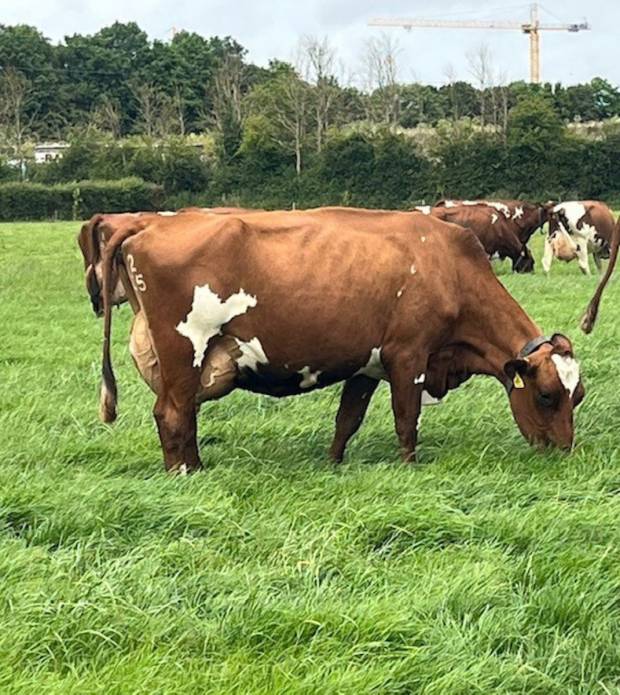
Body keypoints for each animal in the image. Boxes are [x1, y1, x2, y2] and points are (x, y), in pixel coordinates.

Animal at [83, 207, 588, 474]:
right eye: (546, 395)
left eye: (577, 395)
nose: (564, 451)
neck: (450, 267)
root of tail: (150, 223)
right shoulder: (409, 357)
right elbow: (407, 420)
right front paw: (409, 467)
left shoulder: (367, 365)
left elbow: (347, 421)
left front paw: (333, 464)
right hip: (184, 351)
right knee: (173, 415)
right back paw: (186, 474)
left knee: (182, 415)